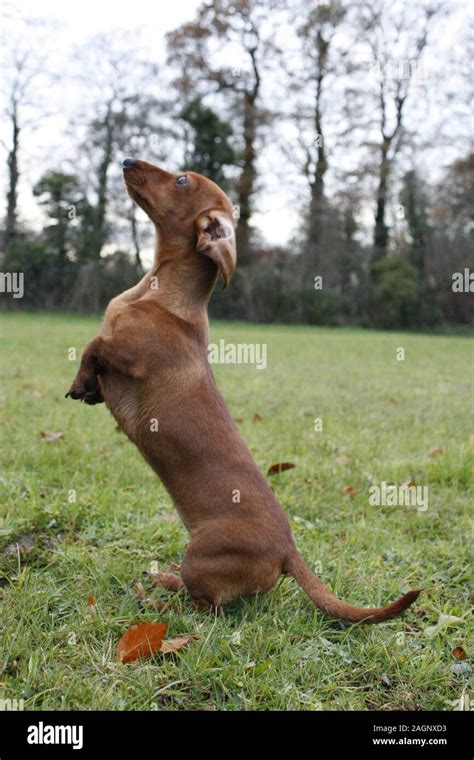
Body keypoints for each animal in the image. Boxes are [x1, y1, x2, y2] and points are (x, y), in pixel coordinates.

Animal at [65, 160, 420, 624]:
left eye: (182, 180)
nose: (125, 162)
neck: (160, 294)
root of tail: (288, 552)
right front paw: (89, 387)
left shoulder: (127, 353)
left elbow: (93, 344)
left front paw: (80, 382)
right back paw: (162, 581)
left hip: (200, 558)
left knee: (205, 608)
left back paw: (158, 599)